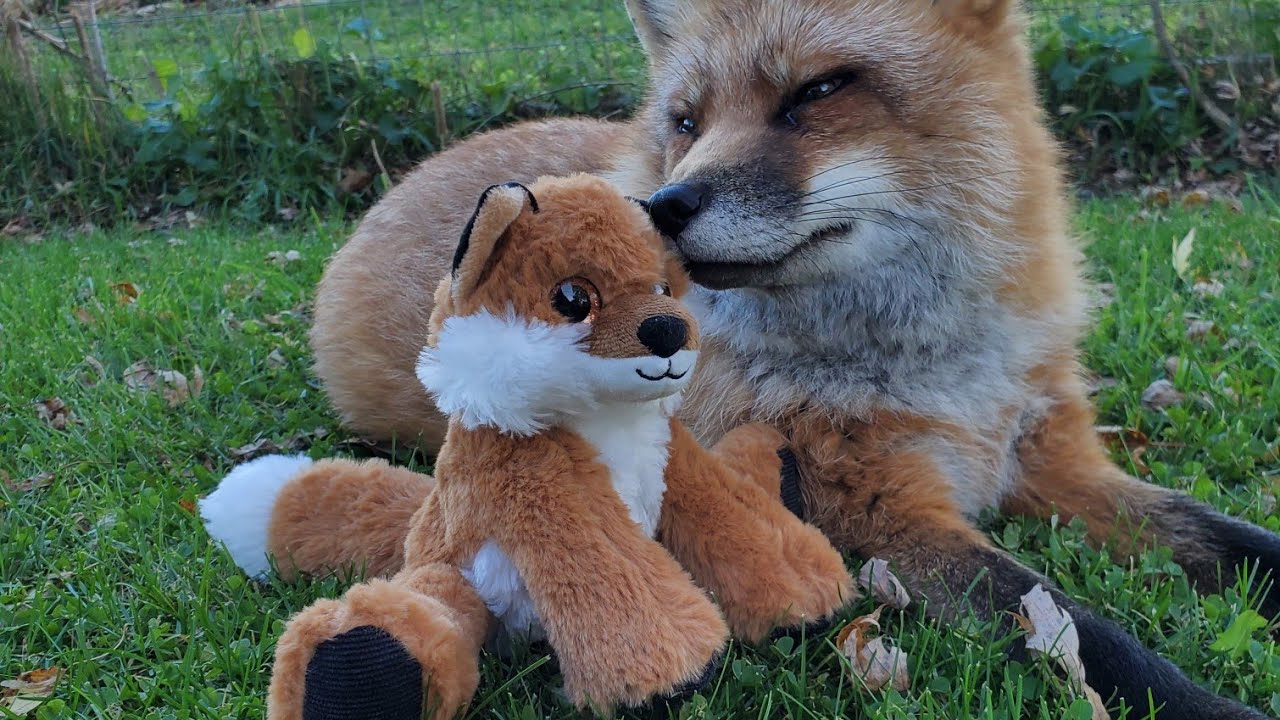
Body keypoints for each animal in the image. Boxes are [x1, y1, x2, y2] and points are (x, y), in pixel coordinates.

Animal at [307, 0, 1280, 717]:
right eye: (687, 121)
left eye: (819, 89)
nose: (663, 206)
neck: (941, 368)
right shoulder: (877, 517)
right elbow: (1088, 633)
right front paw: (1217, 708)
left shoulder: (1055, 461)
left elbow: (1237, 544)